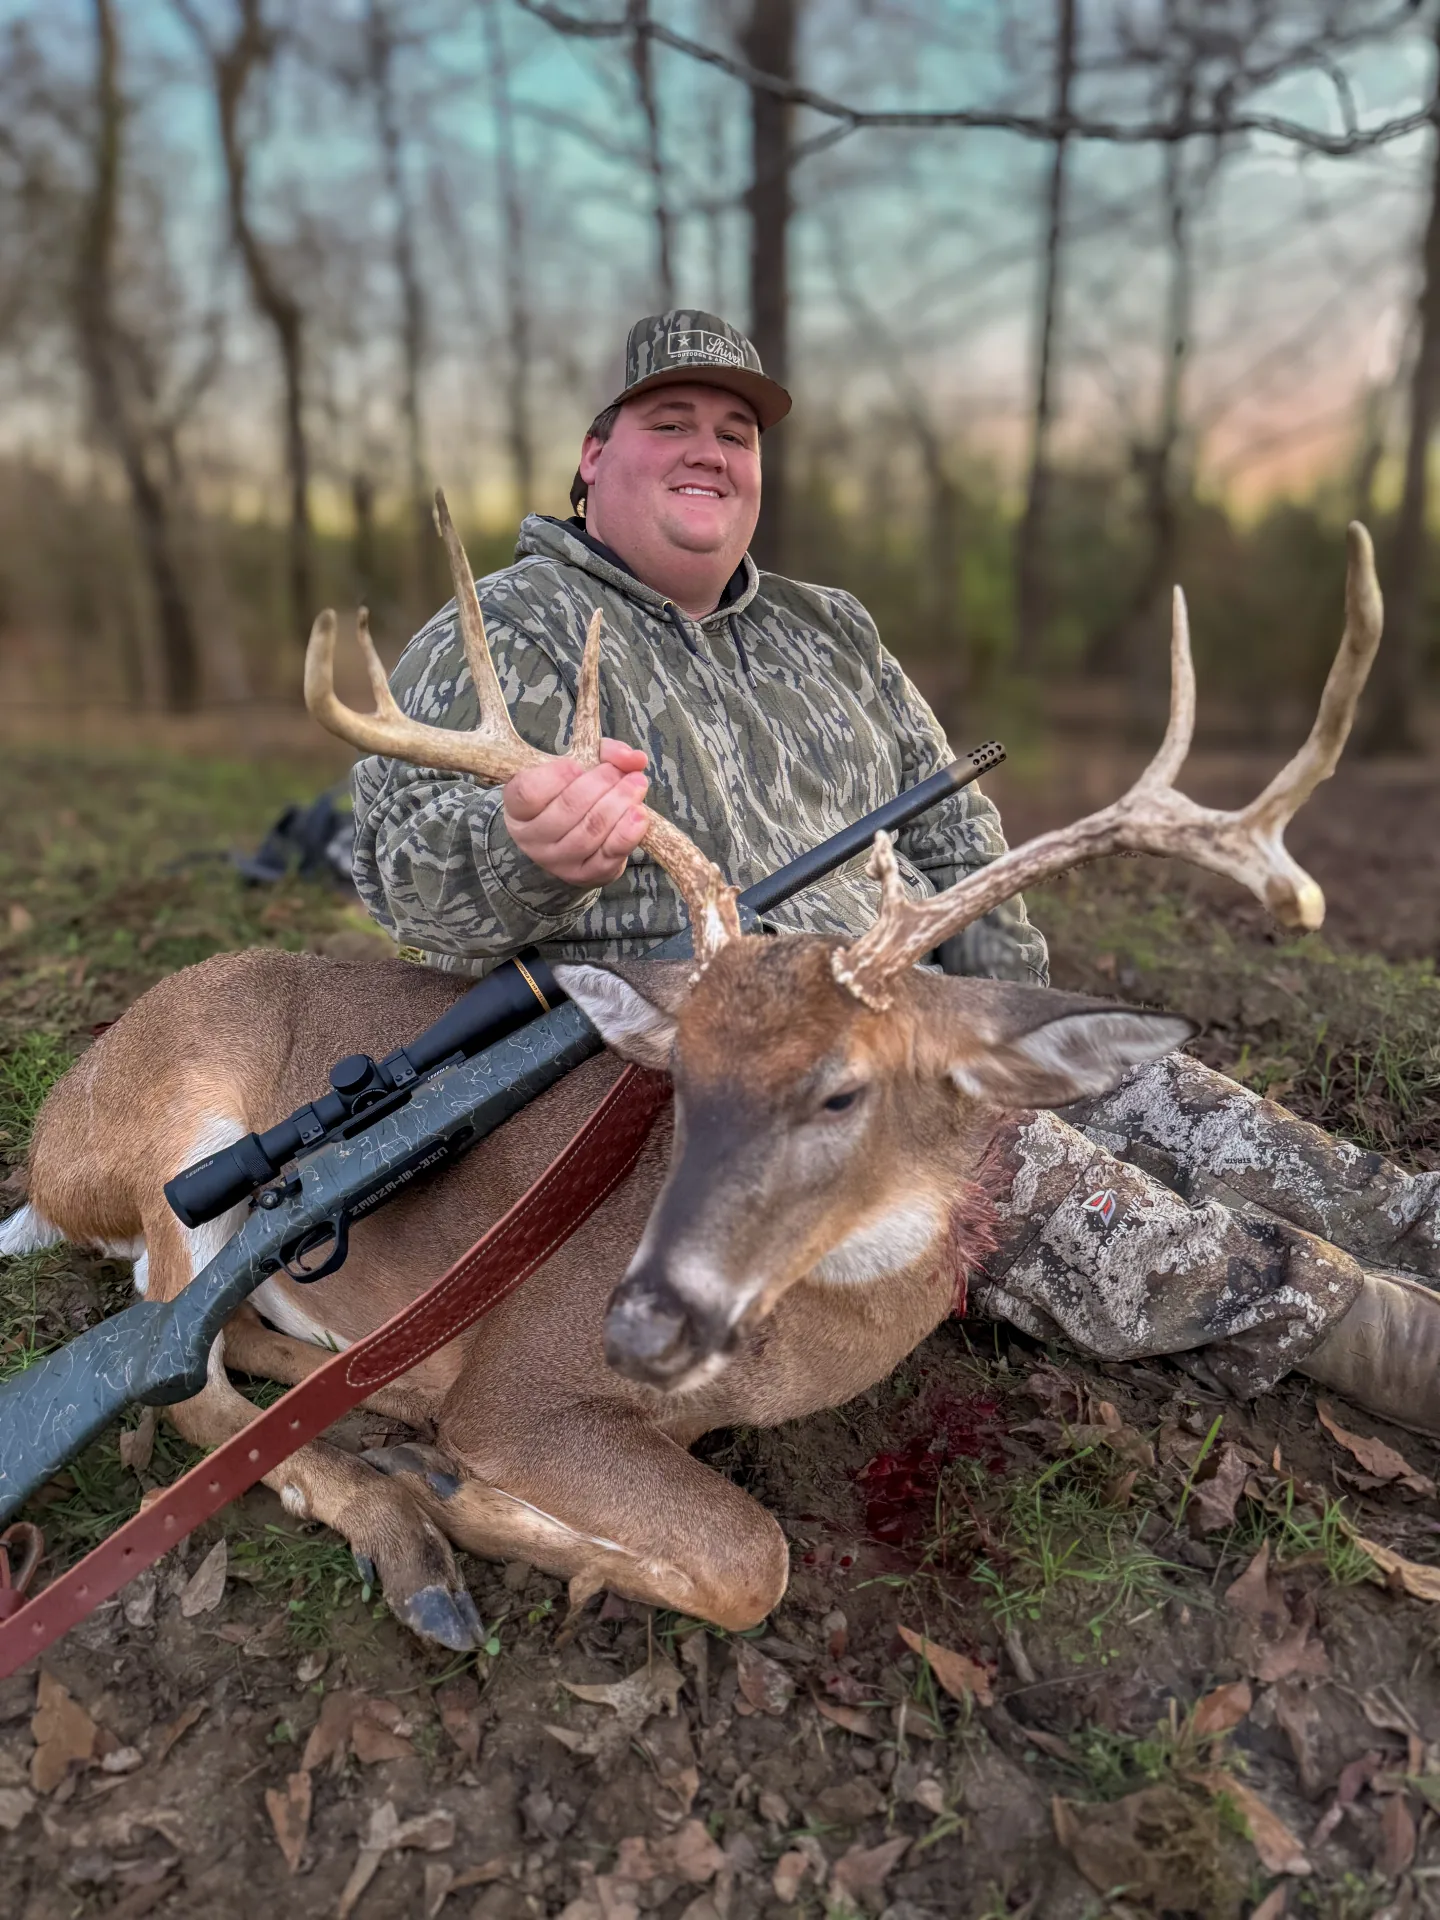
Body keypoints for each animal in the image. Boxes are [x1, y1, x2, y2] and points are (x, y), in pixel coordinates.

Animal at [1, 502, 1382, 1652]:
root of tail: (47, 1155)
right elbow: (753, 1555)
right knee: (182, 1379)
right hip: (182, 1128)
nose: (654, 1310)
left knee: (214, 1344)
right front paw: (458, 1492)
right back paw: (410, 1534)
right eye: (685, 1073)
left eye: (844, 1091)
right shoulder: (526, 1385)